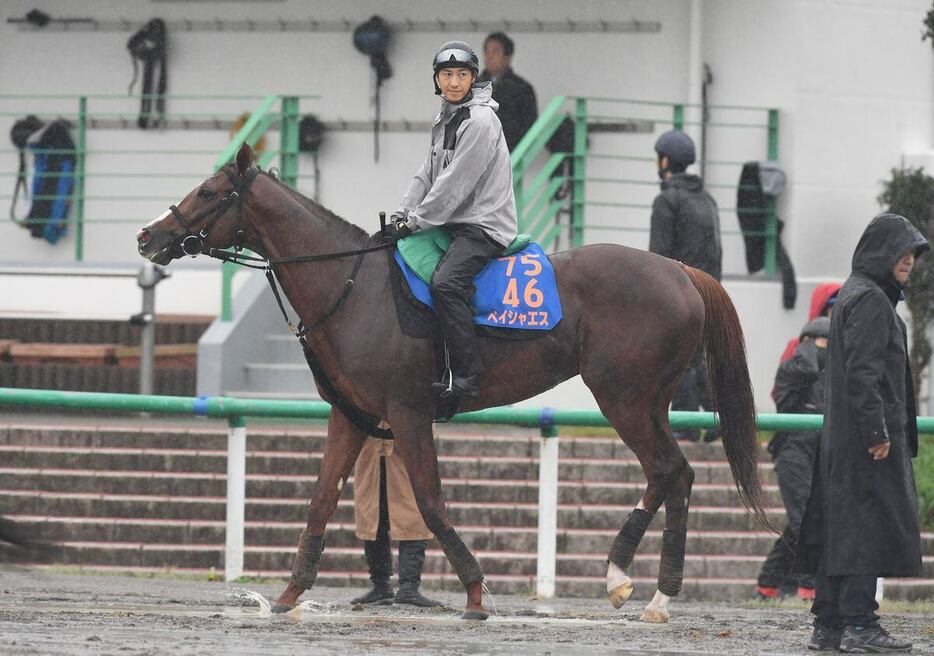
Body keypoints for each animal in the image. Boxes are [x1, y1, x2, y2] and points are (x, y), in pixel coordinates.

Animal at [137, 144, 768, 620]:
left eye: (209, 192)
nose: (148, 236)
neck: (353, 284)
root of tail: (679, 270)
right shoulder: (352, 415)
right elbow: (320, 502)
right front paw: (290, 594)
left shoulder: (409, 413)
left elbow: (431, 501)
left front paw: (474, 591)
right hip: (646, 401)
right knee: (674, 475)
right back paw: (638, 585)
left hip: (623, 398)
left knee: (669, 470)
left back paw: (642, 585)